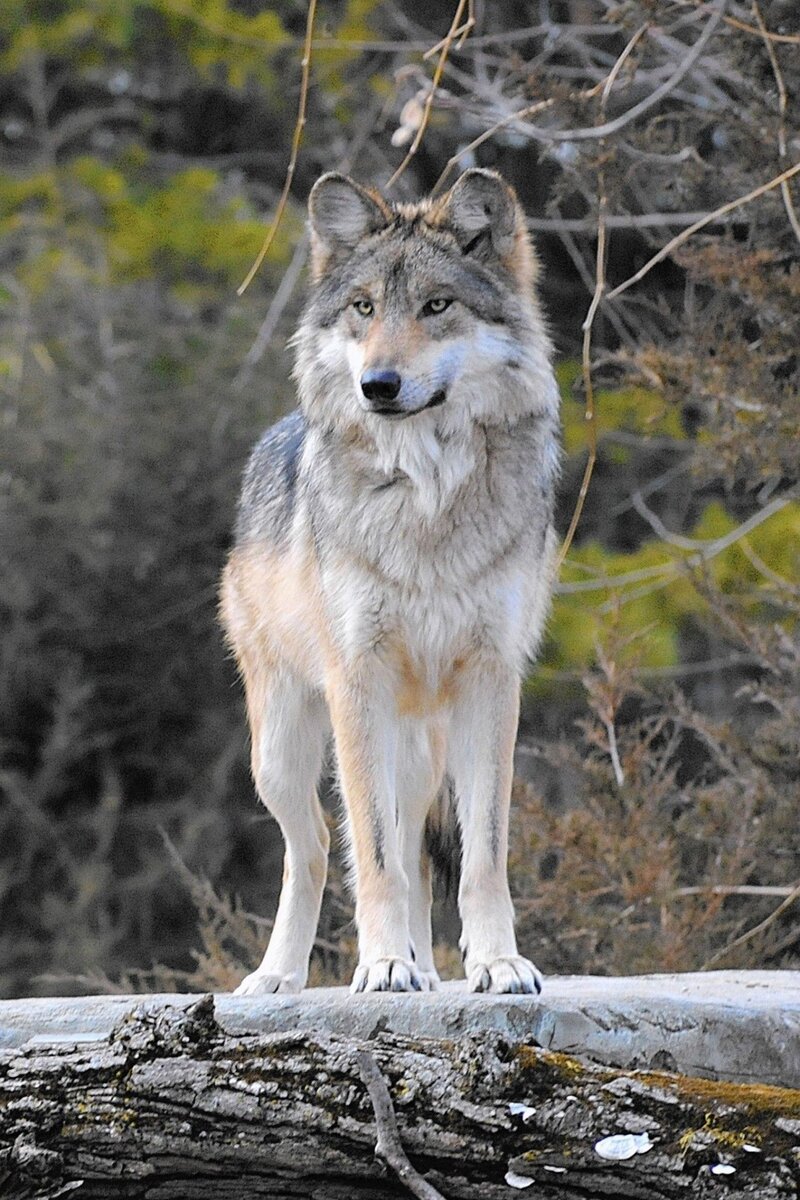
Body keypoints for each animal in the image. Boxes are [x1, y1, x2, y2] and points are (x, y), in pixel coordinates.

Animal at [217, 166, 556, 993]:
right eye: (364, 308)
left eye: (437, 305)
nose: (378, 383)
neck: (425, 499)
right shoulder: (357, 680)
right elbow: (367, 854)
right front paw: (381, 967)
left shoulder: (493, 680)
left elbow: (482, 855)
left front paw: (496, 964)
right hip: (283, 752)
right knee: (312, 849)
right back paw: (281, 977)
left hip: (419, 751)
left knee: (411, 854)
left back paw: (422, 970)